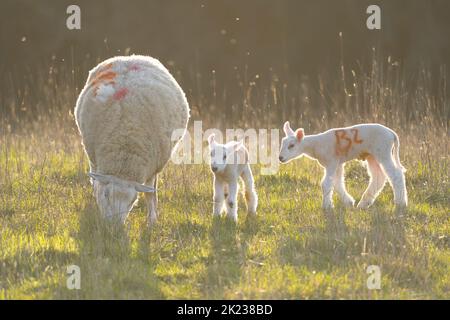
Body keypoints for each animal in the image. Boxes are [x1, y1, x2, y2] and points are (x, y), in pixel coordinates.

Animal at [75, 55, 190, 225]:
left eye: (132, 201)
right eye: (106, 195)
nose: (114, 227)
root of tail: (131, 57)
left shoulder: (152, 167)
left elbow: (150, 194)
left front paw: (152, 221)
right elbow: (96, 186)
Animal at [278, 120, 408, 210]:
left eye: (291, 145)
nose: (280, 158)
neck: (315, 146)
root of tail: (392, 133)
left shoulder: (331, 161)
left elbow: (326, 183)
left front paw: (326, 207)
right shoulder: (337, 163)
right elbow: (337, 183)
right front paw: (348, 202)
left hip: (383, 151)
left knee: (396, 175)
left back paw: (401, 203)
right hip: (372, 156)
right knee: (379, 177)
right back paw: (364, 203)